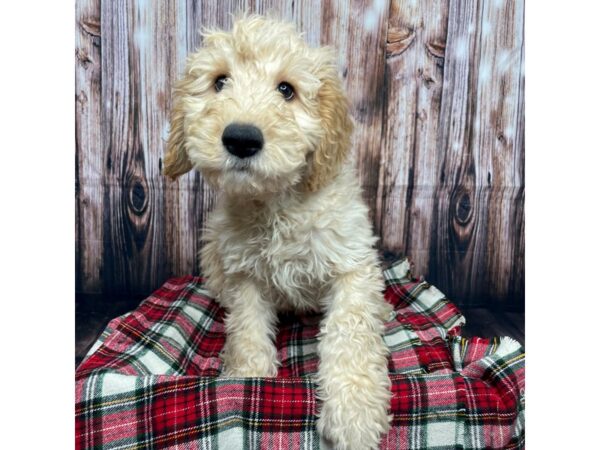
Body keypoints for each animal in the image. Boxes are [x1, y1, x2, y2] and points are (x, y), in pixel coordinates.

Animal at [162, 14, 392, 450]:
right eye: (219, 81)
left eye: (287, 90)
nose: (241, 138)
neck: (277, 204)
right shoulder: (244, 274)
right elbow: (247, 327)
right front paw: (248, 375)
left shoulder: (352, 264)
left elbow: (350, 330)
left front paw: (354, 411)